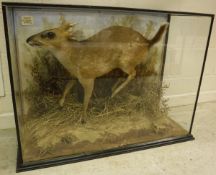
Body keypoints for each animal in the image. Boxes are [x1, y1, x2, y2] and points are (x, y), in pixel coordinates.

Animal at [26, 17, 169, 122]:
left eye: (50, 34)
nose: (28, 39)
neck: (73, 55)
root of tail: (148, 42)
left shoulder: (88, 78)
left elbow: (86, 100)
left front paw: (82, 119)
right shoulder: (74, 75)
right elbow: (66, 88)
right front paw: (60, 104)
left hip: (125, 61)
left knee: (133, 73)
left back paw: (114, 92)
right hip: (122, 64)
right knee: (127, 75)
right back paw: (112, 91)